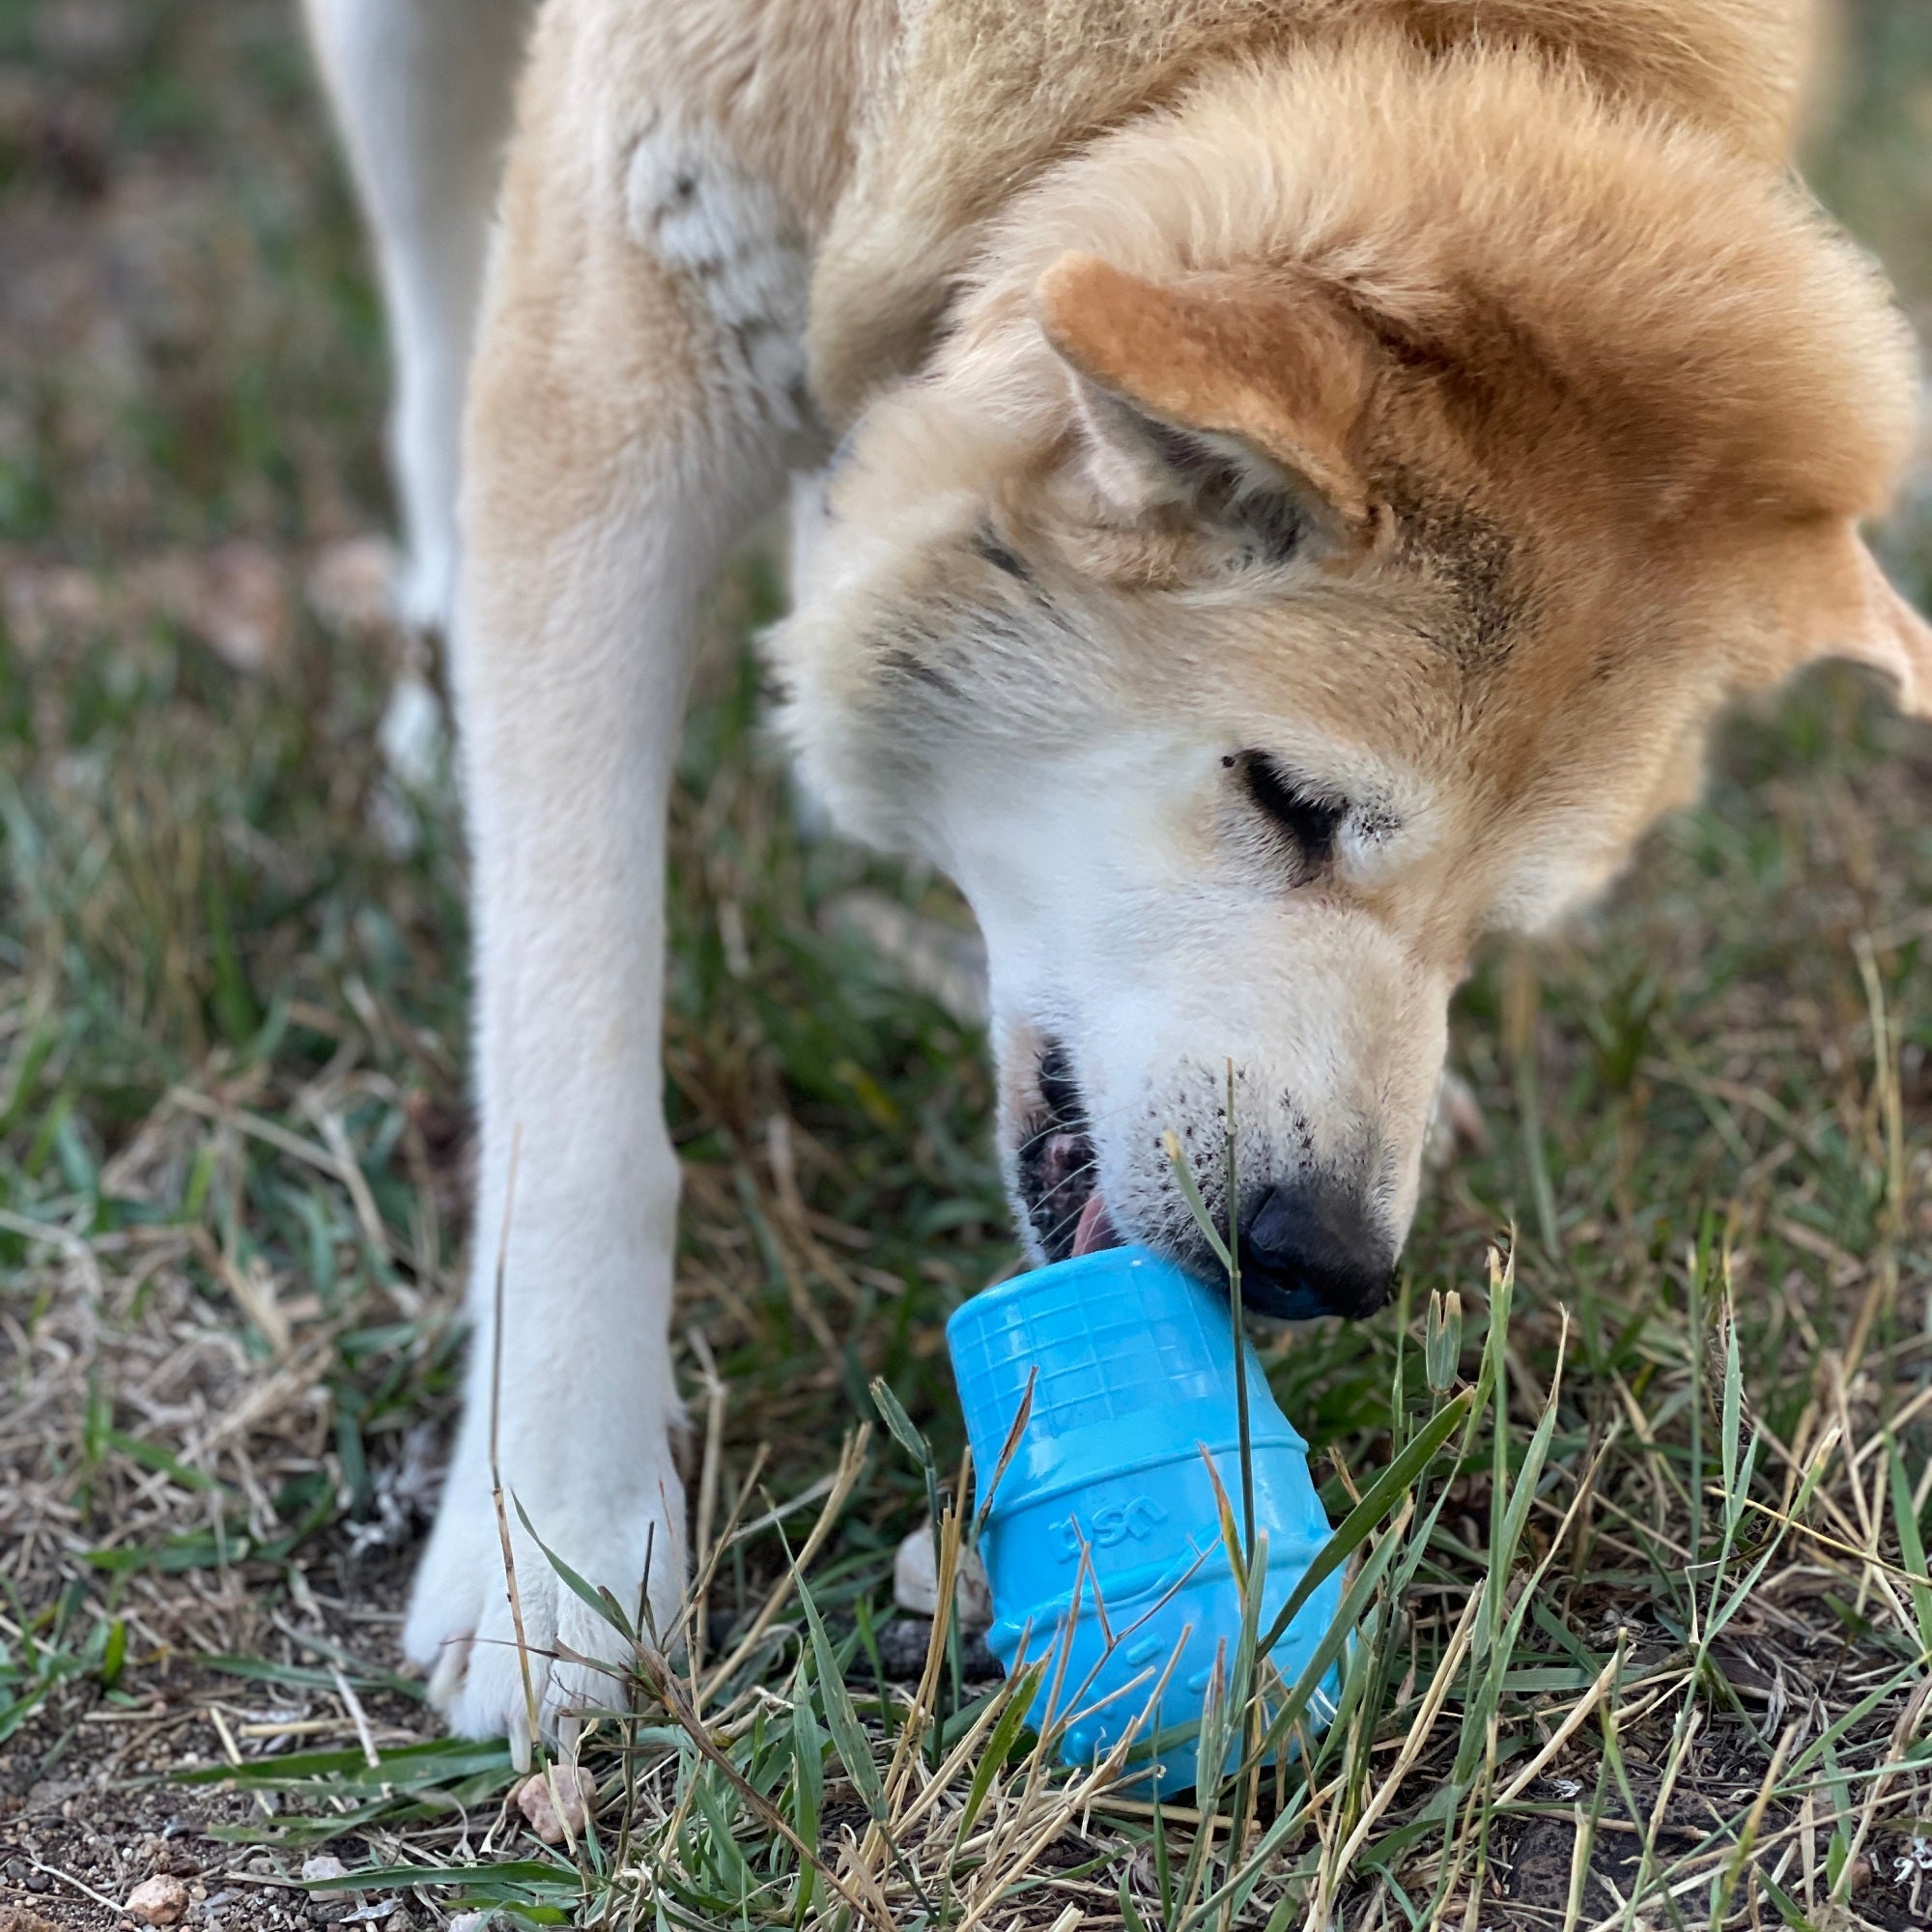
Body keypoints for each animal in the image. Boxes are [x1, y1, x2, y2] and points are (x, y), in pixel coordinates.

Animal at [301, 0, 1932, 1754]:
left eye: (1496, 928)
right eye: (1290, 798)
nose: (1327, 1266)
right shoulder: (624, 336)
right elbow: (580, 1093)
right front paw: (559, 1549)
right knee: (432, 369)